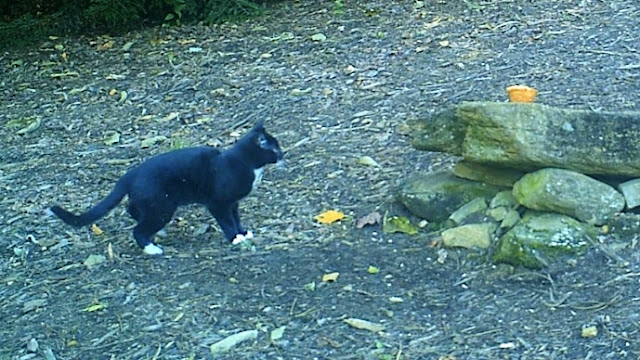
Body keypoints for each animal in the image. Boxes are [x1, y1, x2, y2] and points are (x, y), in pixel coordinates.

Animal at [47, 119, 282, 255]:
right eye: (275, 149)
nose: (284, 154)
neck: (245, 163)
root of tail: (130, 174)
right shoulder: (219, 203)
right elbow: (227, 221)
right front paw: (235, 238)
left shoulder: (233, 203)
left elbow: (236, 217)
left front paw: (243, 232)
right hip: (162, 205)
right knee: (138, 229)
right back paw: (152, 248)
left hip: (153, 202)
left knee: (132, 210)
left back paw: (157, 233)